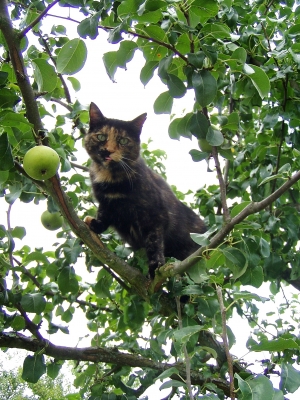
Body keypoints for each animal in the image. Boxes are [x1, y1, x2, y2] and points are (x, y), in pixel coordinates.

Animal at [84, 103, 206, 278]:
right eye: (101, 137)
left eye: (123, 140)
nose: (108, 150)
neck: (111, 178)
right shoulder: (106, 203)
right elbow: (103, 215)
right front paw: (95, 224)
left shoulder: (156, 215)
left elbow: (154, 241)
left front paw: (155, 266)